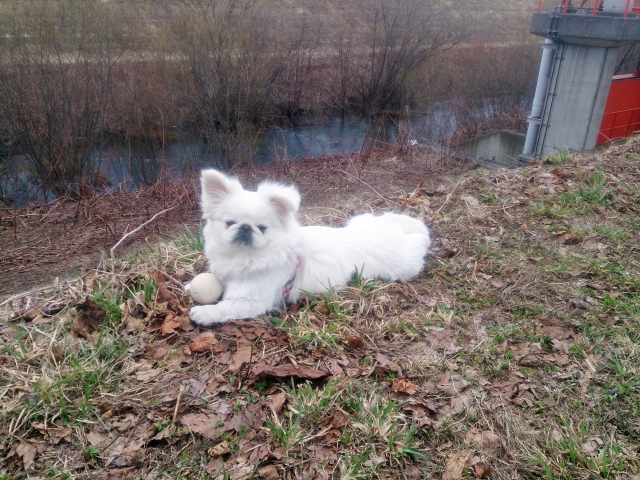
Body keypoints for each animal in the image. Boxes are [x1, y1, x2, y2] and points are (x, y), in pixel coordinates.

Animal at [189, 170, 430, 326]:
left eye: (262, 228)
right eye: (229, 223)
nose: (246, 228)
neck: (244, 258)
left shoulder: (253, 301)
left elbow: (226, 307)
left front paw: (204, 313)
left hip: (405, 266)